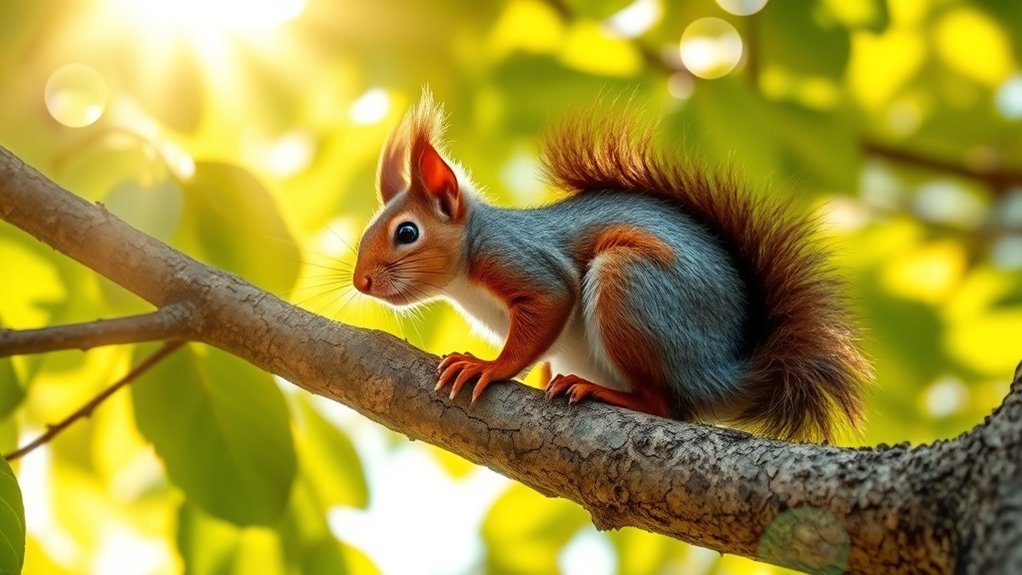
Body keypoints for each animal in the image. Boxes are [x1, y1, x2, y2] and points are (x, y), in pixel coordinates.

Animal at [353, 91, 871, 442]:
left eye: (406, 233)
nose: (361, 282)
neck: (465, 275)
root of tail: (722, 373)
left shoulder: (521, 260)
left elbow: (548, 304)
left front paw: (489, 366)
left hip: (630, 289)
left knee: (664, 405)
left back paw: (597, 391)